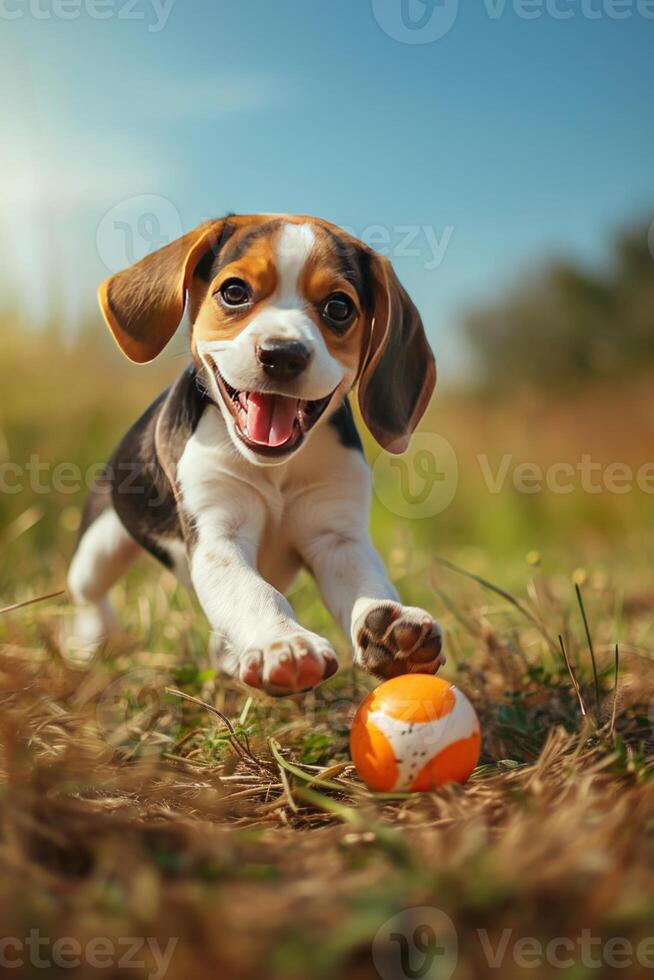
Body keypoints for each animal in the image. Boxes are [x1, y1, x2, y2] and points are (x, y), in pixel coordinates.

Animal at [66, 212, 446, 696]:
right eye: (234, 292)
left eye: (339, 308)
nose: (282, 354)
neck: (276, 469)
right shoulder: (218, 534)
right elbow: (254, 592)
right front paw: (283, 643)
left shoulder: (337, 537)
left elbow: (368, 582)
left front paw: (392, 632)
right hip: (99, 546)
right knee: (88, 594)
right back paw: (89, 641)